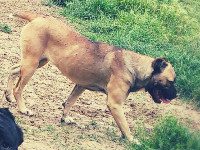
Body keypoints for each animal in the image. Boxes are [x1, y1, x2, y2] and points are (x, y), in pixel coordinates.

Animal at [4, 12, 177, 142]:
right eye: (170, 82)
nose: (176, 95)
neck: (135, 66)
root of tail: (38, 17)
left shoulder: (81, 85)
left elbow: (69, 102)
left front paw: (65, 118)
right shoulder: (115, 104)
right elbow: (125, 125)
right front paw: (132, 140)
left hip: (36, 63)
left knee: (12, 70)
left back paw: (8, 96)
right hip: (31, 65)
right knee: (18, 88)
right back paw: (23, 109)